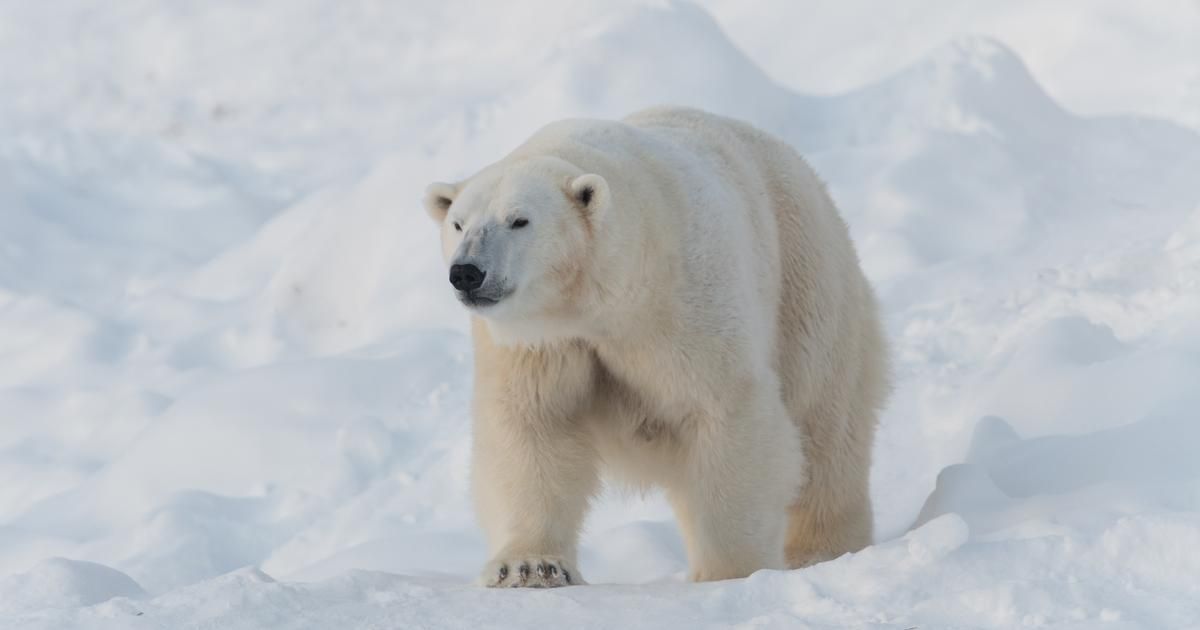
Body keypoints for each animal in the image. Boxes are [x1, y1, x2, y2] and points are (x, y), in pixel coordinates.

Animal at [424, 104, 892, 585]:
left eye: (519, 220)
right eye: (458, 223)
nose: (467, 272)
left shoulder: (681, 307)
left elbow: (725, 414)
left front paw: (729, 571)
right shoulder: (536, 343)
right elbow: (530, 428)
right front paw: (531, 567)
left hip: (805, 280)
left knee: (825, 423)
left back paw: (819, 550)